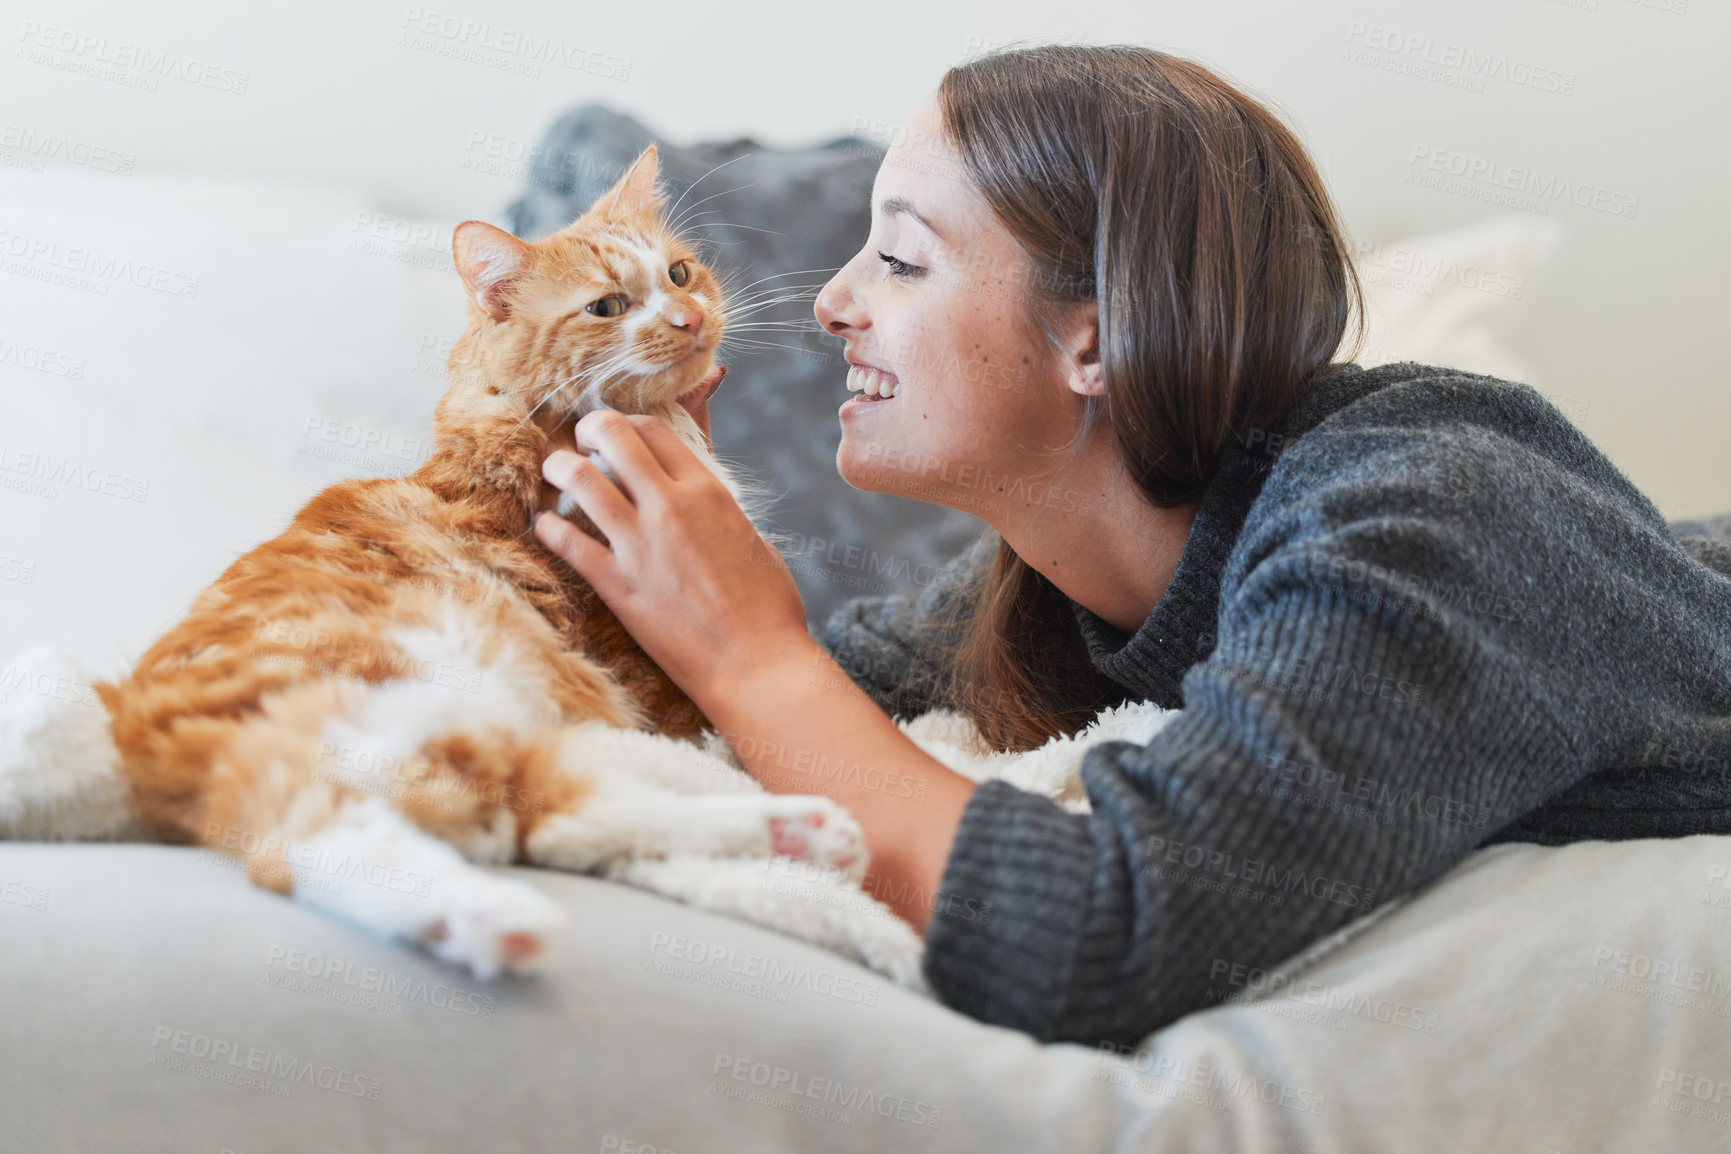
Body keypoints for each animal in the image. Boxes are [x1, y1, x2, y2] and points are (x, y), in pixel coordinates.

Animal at [76, 144, 872, 975]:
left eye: (679, 276)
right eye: (607, 308)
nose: (688, 318)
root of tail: (131, 724)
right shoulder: (663, 683)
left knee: (548, 819)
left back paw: (798, 832)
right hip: (393, 693)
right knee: (305, 837)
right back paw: (497, 917)